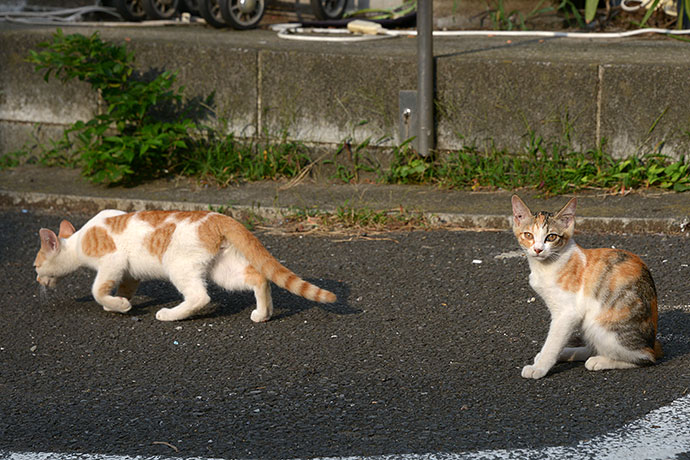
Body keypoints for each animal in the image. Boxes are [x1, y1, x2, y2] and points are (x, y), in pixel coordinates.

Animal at [35, 210, 336, 322]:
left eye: (36, 267)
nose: (37, 281)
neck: (79, 240)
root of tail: (218, 216)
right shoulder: (130, 274)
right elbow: (124, 289)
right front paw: (120, 303)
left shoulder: (113, 262)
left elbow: (98, 291)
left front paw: (116, 304)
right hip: (222, 269)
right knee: (259, 278)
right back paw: (263, 313)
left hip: (178, 264)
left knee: (200, 296)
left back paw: (170, 314)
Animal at [510, 196, 660, 380]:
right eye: (528, 235)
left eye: (551, 237)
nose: (538, 249)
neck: (547, 265)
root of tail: (653, 344)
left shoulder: (567, 313)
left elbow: (553, 342)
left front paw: (539, 368)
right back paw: (569, 354)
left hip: (600, 324)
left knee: (644, 357)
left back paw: (600, 361)